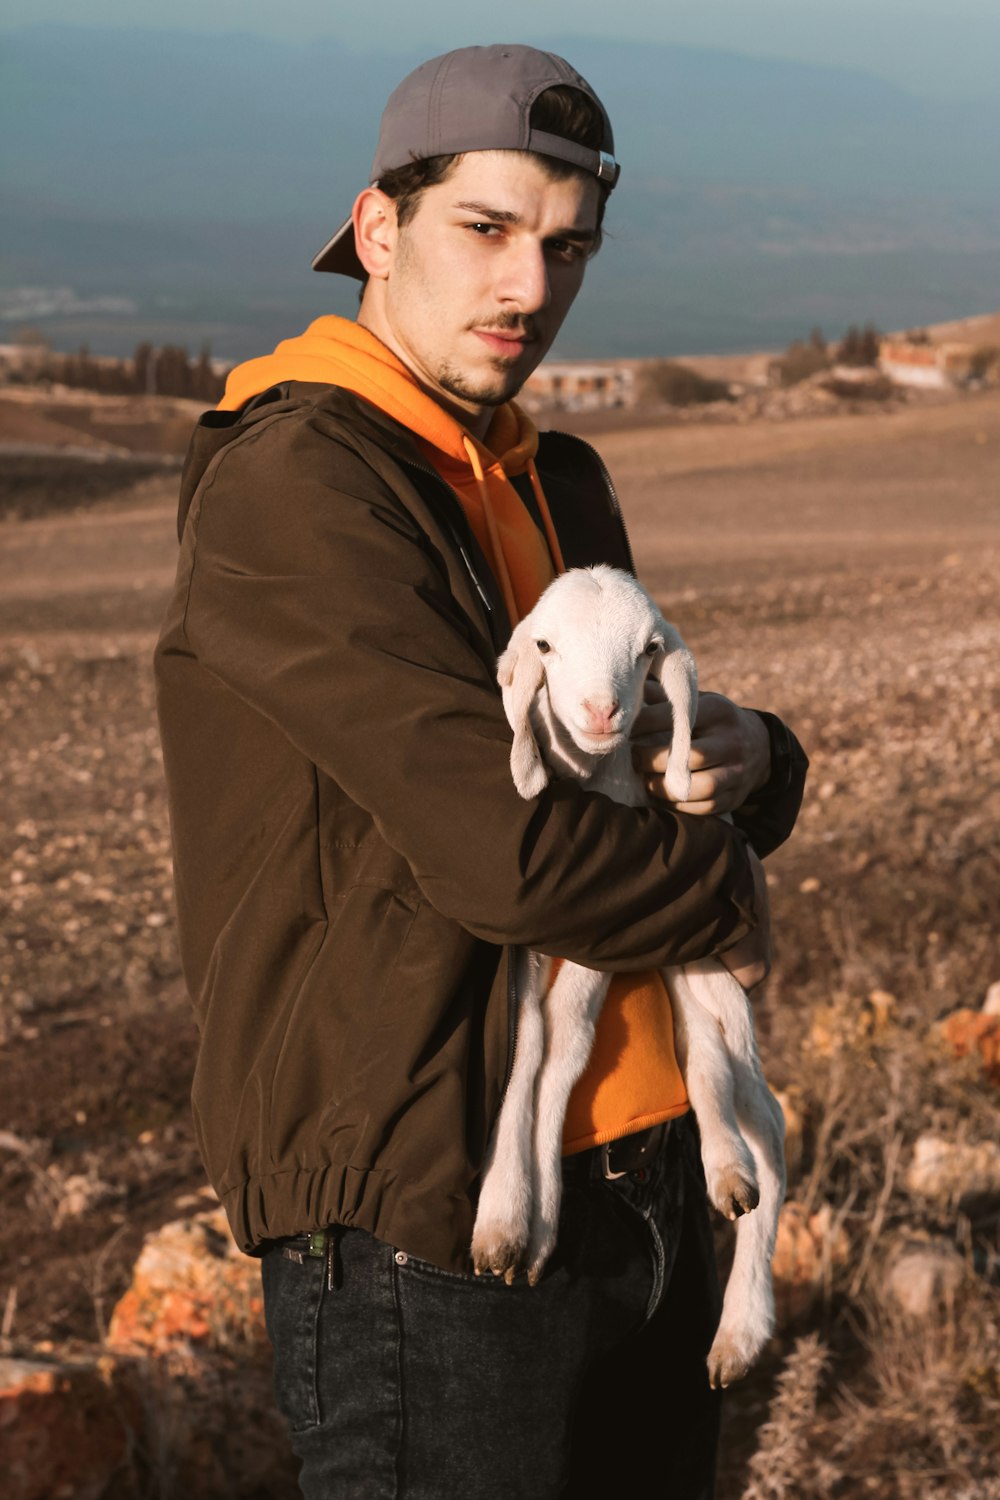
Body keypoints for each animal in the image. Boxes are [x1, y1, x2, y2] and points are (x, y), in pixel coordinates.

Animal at [473, 567, 785, 1386]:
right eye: (545, 646)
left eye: (648, 650)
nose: (599, 711)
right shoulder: (532, 939)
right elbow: (529, 1043)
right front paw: (516, 1216)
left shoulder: (594, 935)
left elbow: (565, 1045)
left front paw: (521, 1218)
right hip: (683, 970)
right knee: (704, 1065)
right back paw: (726, 1172)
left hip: (713, 968)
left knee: (767, 1120)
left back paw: (740, 1328)